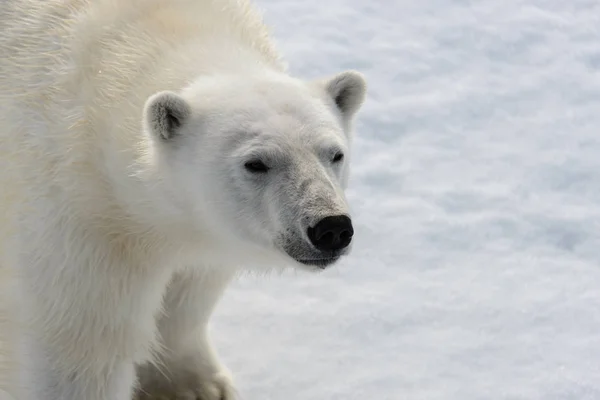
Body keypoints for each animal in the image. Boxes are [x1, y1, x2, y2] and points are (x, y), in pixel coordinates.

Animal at [0, 0, 366, 398]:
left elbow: (190, 290)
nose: (330, 228)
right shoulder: (80, 216)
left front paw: (196, 385)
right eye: (256, 163)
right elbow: (84, 342)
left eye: (334, 154)